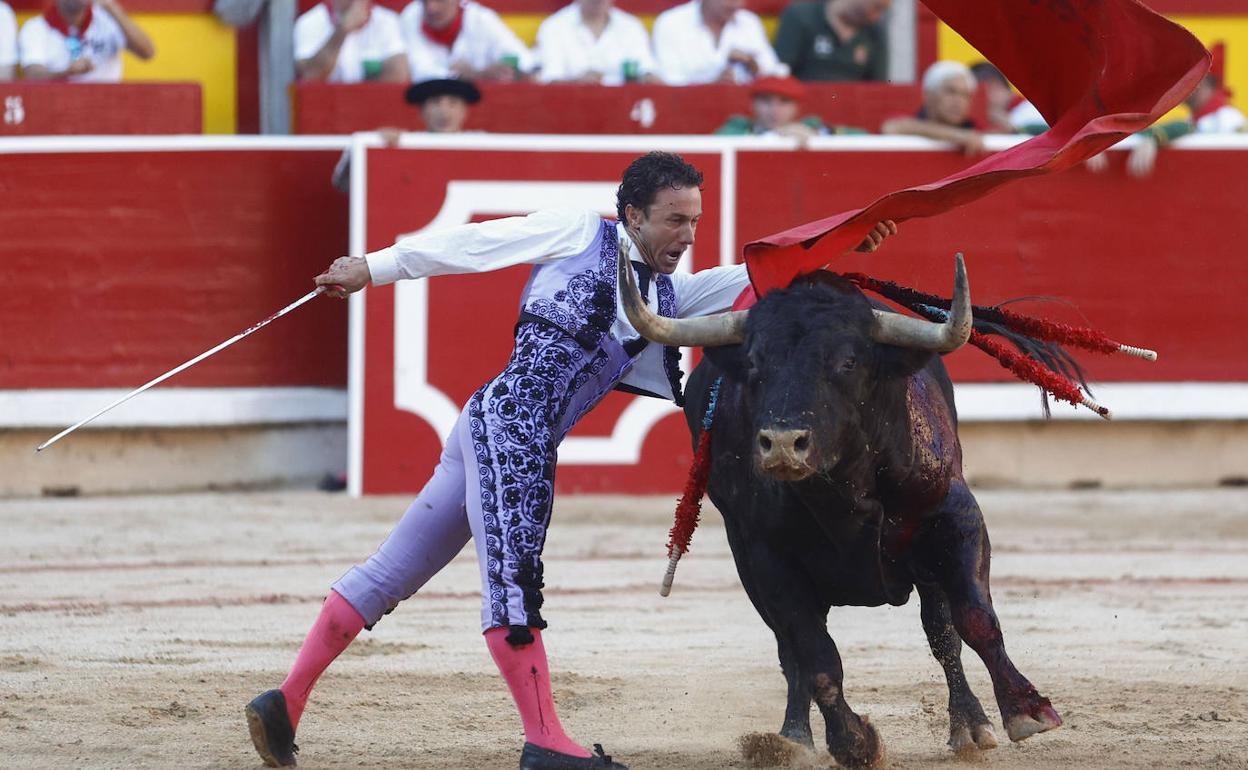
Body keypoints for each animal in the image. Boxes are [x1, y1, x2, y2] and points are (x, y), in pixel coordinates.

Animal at [683, 274, 1063, 763]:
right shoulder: (765, 555)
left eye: (848, 361)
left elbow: (974, 620)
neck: (844, 487)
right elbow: (816, 655)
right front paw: (854, 743)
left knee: (942, 633)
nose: (783, 443)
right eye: (753, 362)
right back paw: (792, 739)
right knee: (791, 651)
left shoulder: (955, 517)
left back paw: (970, 725)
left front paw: (1026, 710)